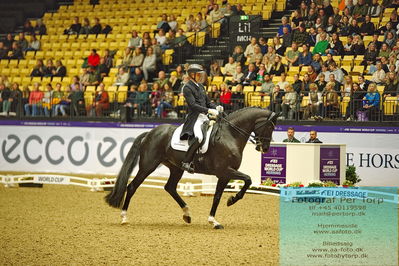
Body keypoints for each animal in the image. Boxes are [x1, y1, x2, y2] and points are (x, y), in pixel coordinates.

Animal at [106, 107, 282, 229]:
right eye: (270, 127)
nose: (265, 148)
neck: (230, 135)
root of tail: (150, 132)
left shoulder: (224, 175)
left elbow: (217, 197)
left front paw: (214, 221)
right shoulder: (225, 171)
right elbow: (248, 179)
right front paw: (232, 200)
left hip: (176, 168)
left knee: (170, 187)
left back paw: (187, 214)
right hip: (148, 165)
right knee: (132, 186)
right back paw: (124, 218)